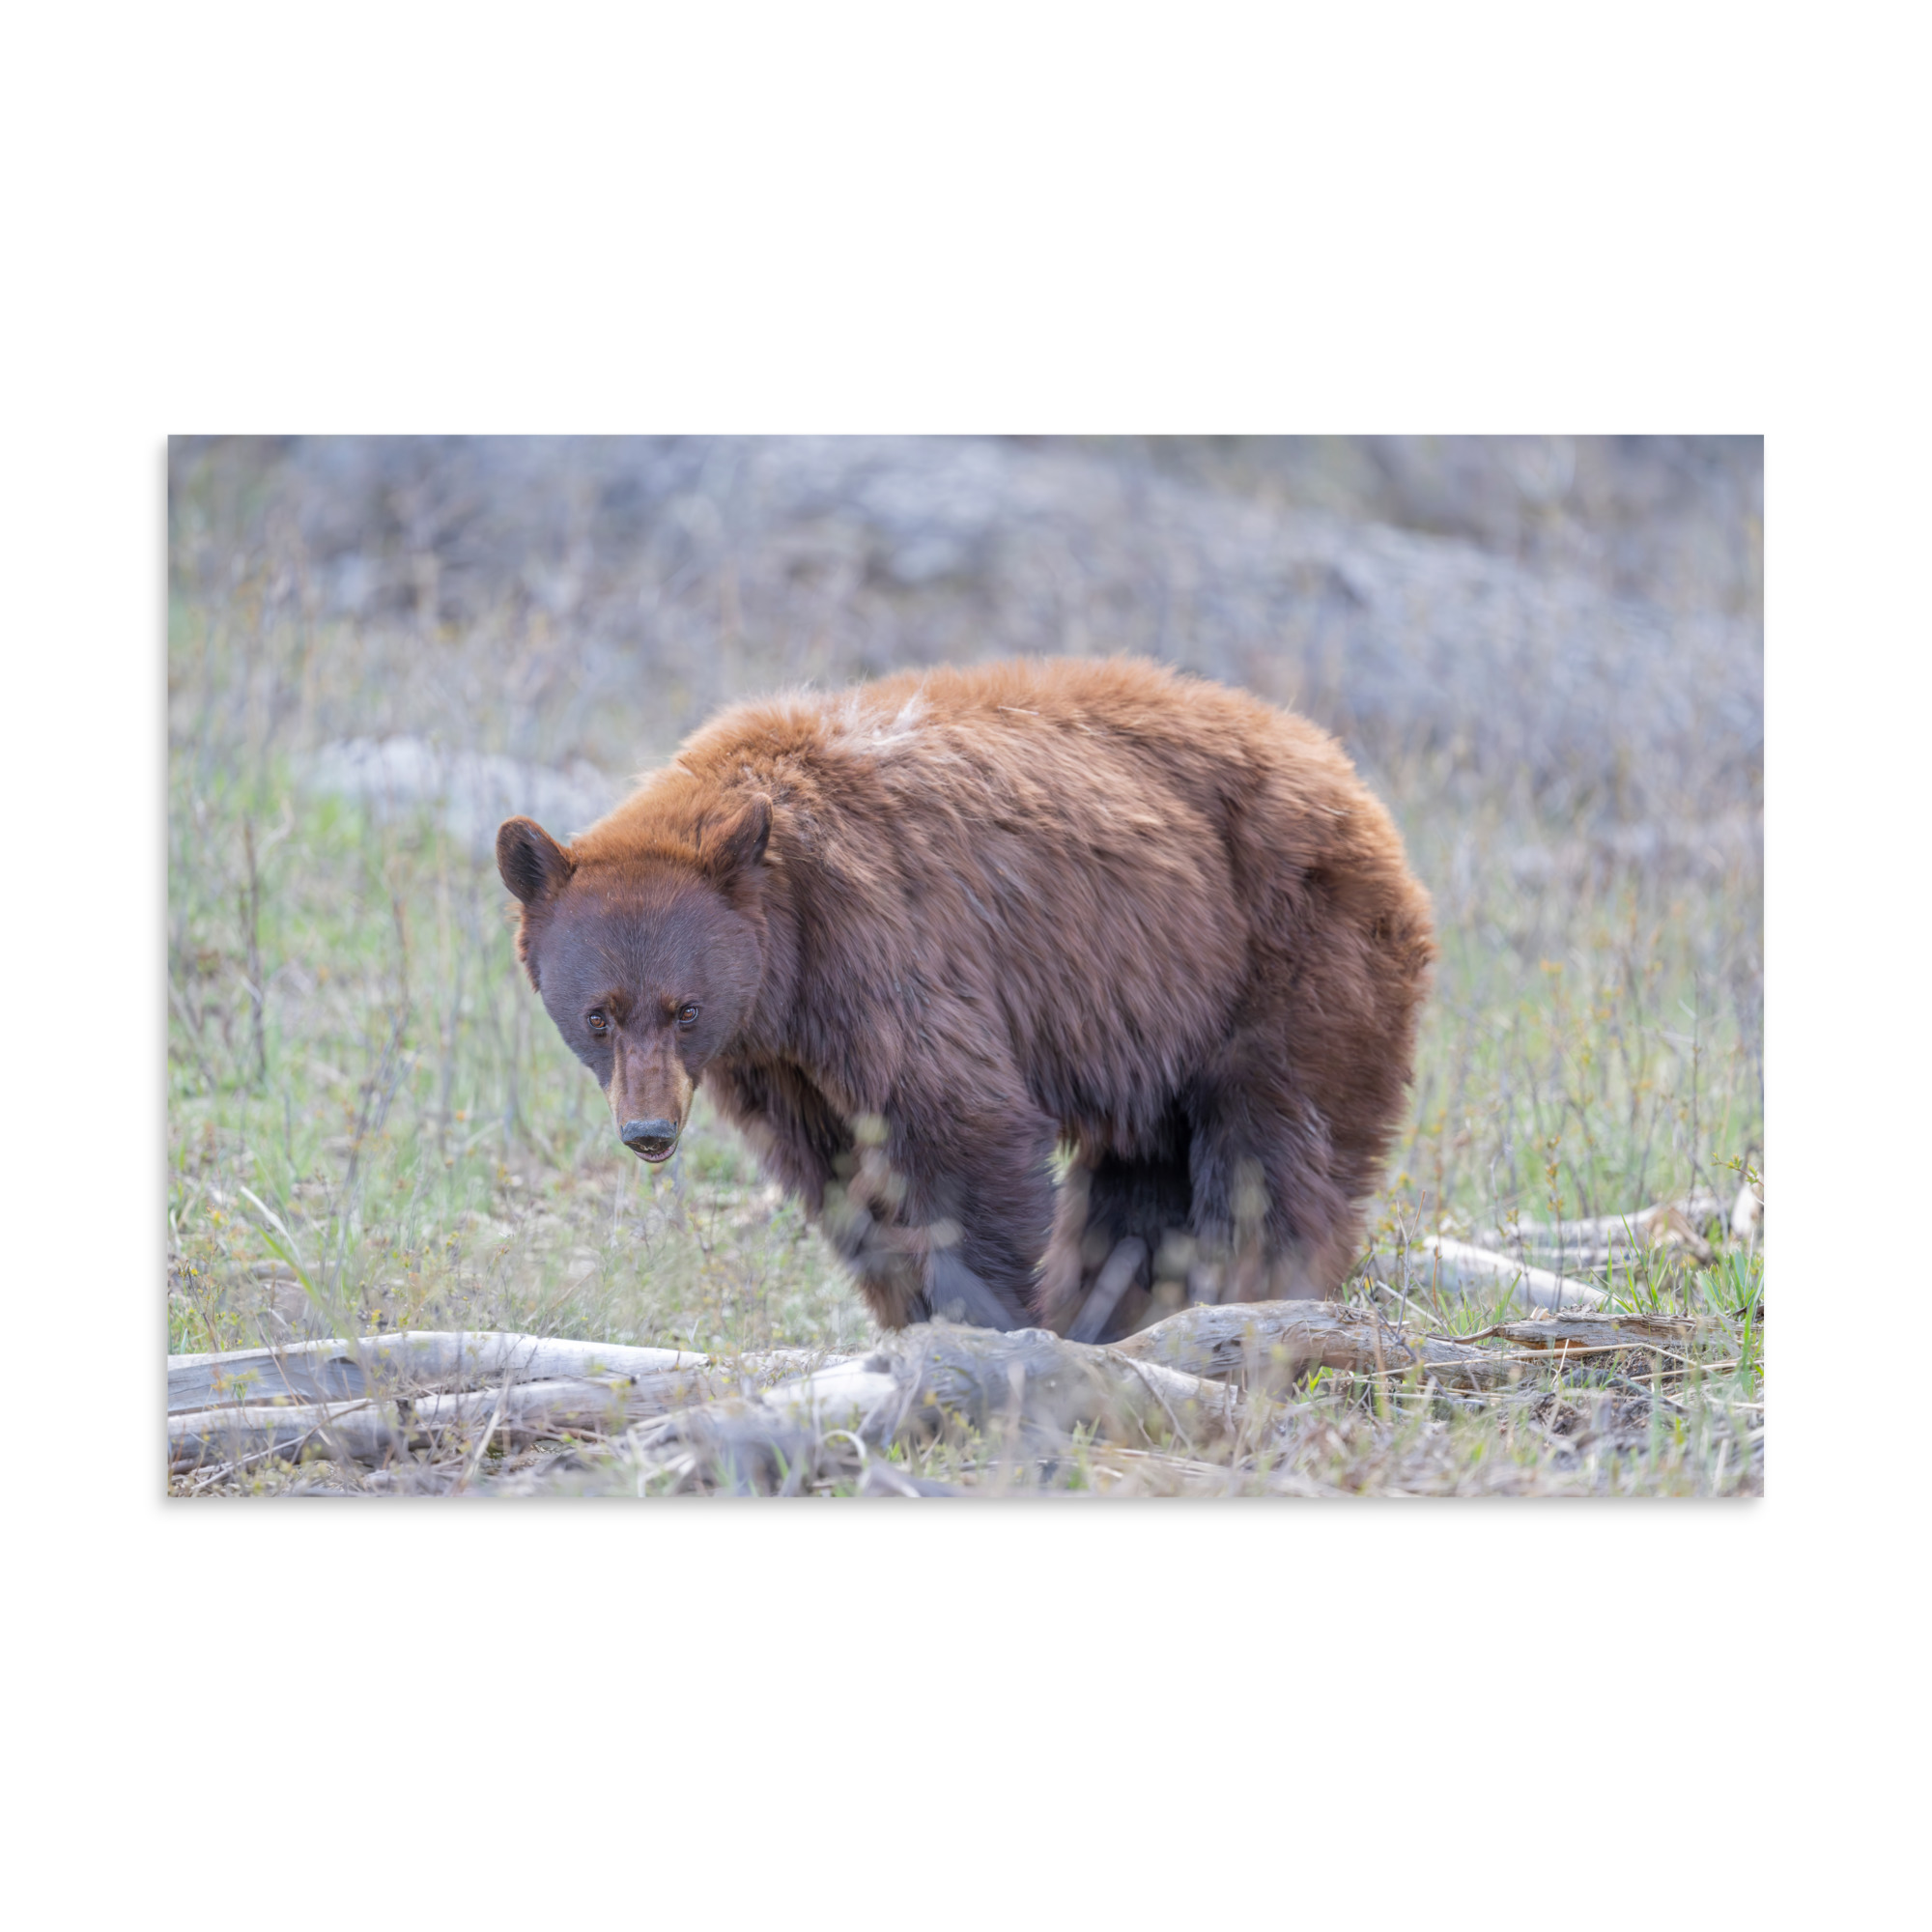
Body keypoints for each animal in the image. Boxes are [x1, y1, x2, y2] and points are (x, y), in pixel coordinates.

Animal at [496, 657, 1435, 1342]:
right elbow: (840, 1175)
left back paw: (1250, 1293)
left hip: (1286, 953)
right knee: (1141, 1178)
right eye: (599, 1015)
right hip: (1160, 1016)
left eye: (684, 1009)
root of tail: (1345, 773)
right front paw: (912, 1314)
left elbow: (961, 1128)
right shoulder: (778, 1060)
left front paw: (987, 1320)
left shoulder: (884, 949)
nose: (648, 1132)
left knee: (1273, 1148)